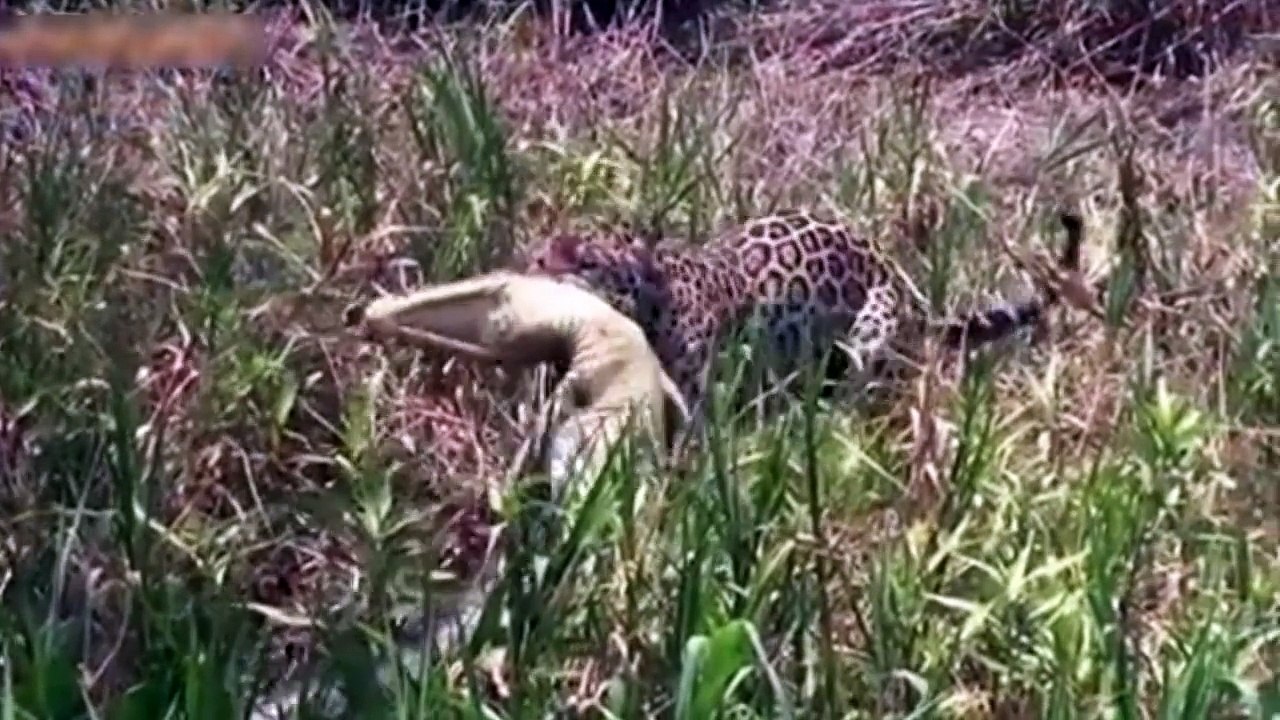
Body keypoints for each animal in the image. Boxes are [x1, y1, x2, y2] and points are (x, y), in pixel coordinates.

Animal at [519, 208, 1084, 437]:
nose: (537, 272)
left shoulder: (696, 396)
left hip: (870, 337)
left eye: (587, 262)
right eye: (542, 254)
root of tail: (910, 290)